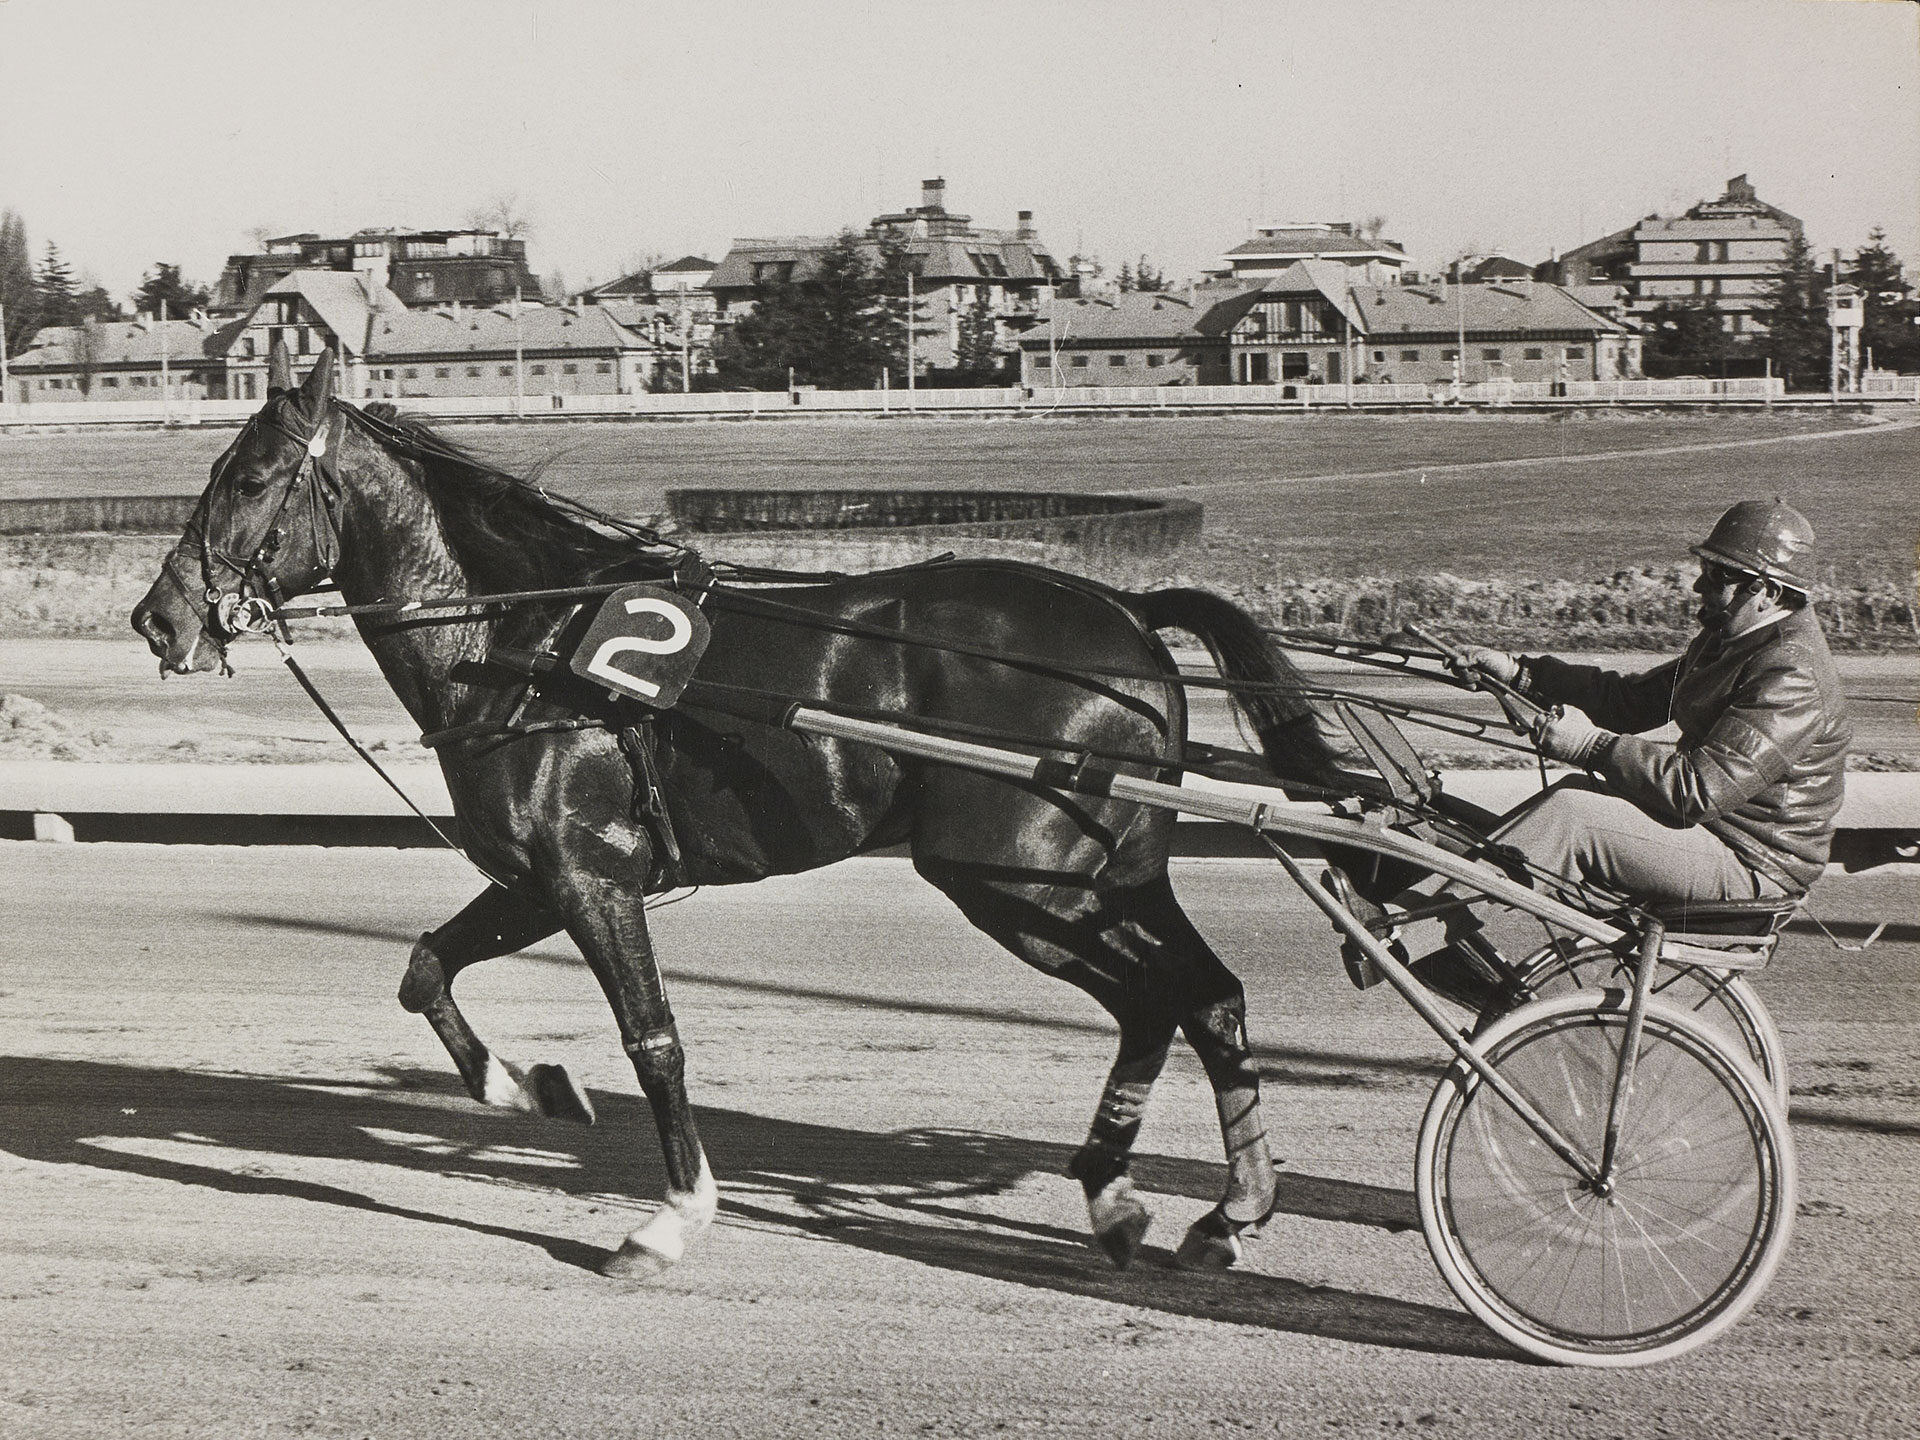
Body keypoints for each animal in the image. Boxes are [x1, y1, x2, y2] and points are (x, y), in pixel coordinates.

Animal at [131, 355, 1336, 1282]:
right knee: (1206, 997)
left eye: (247, 477)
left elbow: (653, 1037)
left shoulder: (588, 876)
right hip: (1103, 879)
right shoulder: (537, 875)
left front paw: (667, 1220)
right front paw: (532, 1087)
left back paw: (1148, 1197)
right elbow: (426, 968)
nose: (158, 619)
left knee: (1161, 999)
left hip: (1019, 882)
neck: (527, 647)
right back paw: (1208, 1208)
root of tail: (1125, 608)